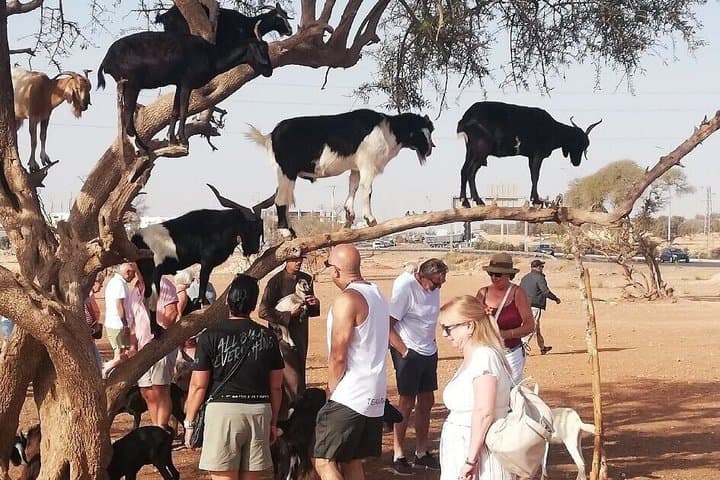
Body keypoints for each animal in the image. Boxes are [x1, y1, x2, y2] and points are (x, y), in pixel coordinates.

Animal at [97, 26, 272, 152]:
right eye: (262, 49)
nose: (269, 71)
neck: (210, 54)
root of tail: (107, 59)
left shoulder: (179, 84)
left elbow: (174, 110)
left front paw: (171, 139)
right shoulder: (187, 82)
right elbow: (184, 109)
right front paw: (182, 139)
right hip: (132, 85)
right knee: (127, 117)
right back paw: (142, 147)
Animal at [132, 185, 274, 308]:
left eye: (259, 228)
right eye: (247, 228)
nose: (254, 249)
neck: (219, 228)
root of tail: (136, 237)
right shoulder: (206, 262)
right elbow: (203, 281)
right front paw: (203, 301)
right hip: (154, 274)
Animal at [247, 109, 435, 238]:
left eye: (430, 131)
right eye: (421, 132)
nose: (431, 148)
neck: (388, 130)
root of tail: (270, 136)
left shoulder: (356, 167)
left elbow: (353, 186)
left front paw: (349, 216)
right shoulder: (368, 165)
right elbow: (367, 189)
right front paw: (370, 219)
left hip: (286, 174)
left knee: (285, 199)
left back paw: (292, 231)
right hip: (287, 171)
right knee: (280, 200)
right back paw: (285, 232)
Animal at [456, 101, 602, 206]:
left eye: (585, 146)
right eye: (579, 143)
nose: (577, 162)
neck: (554, 129)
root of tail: (465, 118)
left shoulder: (531, 156)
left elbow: (532, 174)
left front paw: (535, 198)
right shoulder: (538, 154)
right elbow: (536, 175)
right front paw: (536, 200)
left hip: (470, 149)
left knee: (464, 170)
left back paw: (465, 202)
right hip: (481, 149)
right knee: (471, 171)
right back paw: (477, 200)